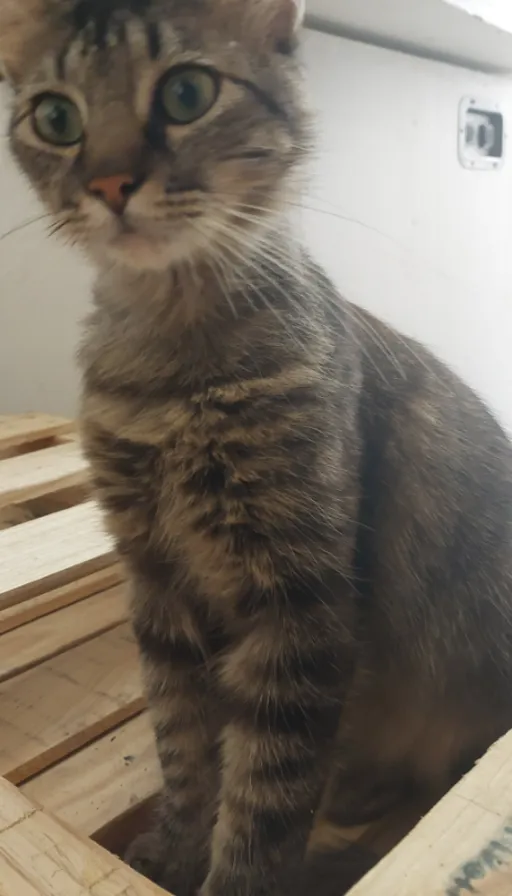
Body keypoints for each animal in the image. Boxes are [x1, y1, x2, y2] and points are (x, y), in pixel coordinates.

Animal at [1, 0, 512, 892]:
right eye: (56, 118)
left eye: (186, 94)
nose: (108, 185)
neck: (173, 369)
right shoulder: (158, 586)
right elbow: (184, 752)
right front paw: (172, 851)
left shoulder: (298, 609)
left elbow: (262, 802)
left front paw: (230, 874)